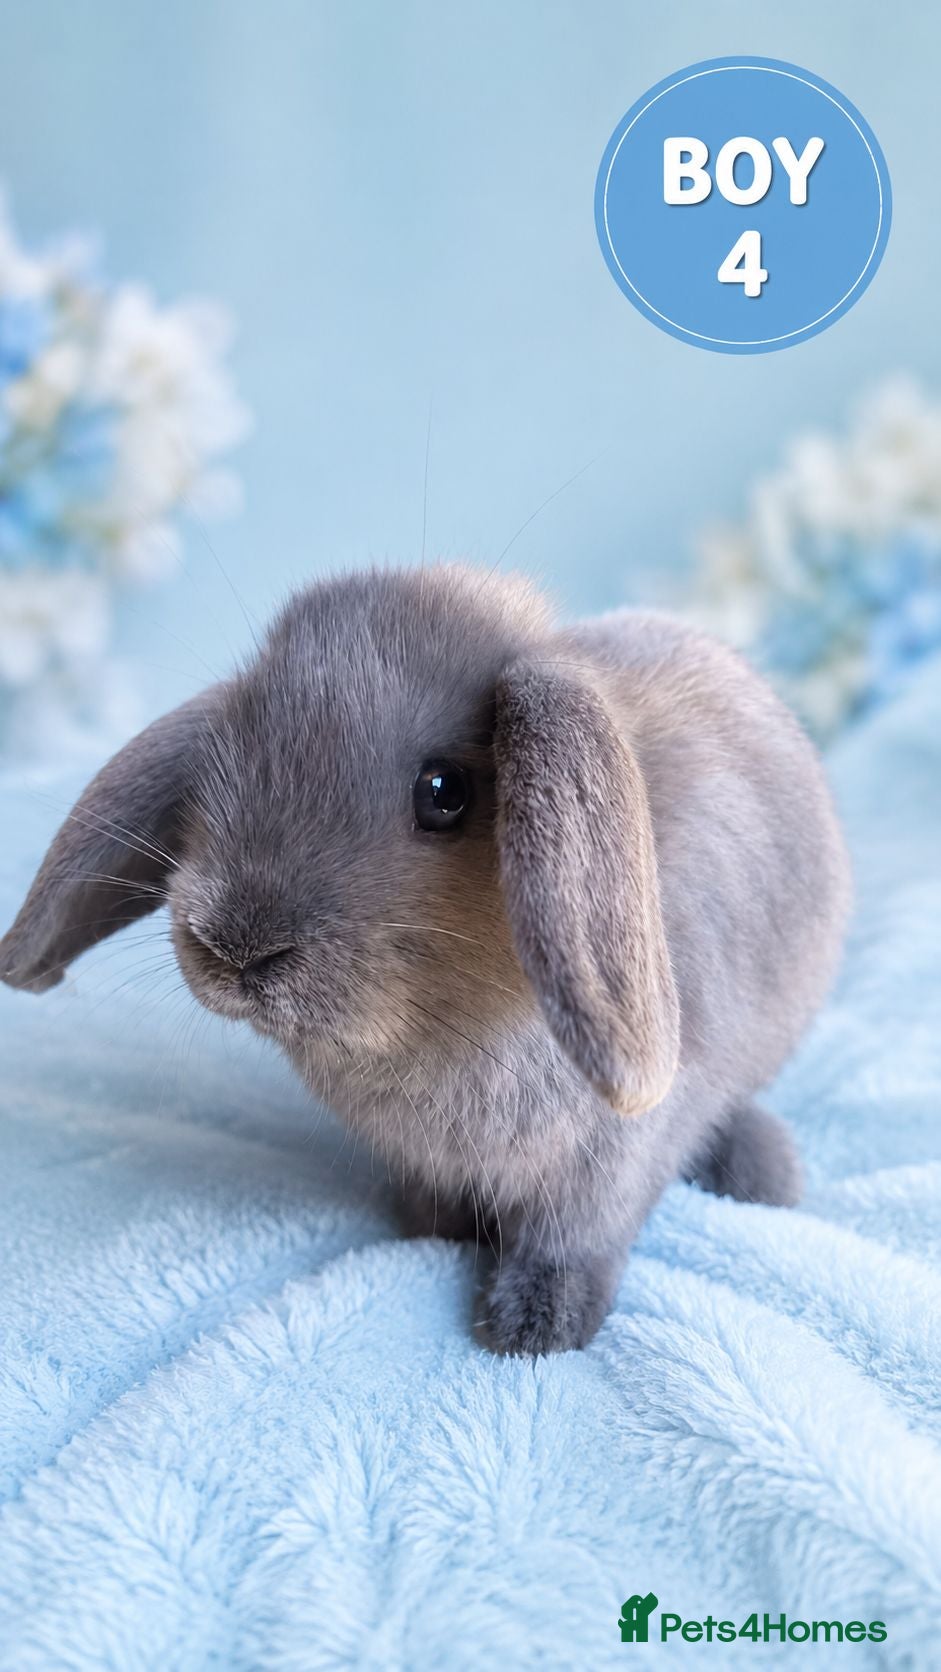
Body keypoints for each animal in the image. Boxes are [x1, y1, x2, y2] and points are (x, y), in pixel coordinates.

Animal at [0, 563, 850, 1355]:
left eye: (443, 791)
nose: (231, 944)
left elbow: (575, 1233)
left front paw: (534, 1325)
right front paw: (429, 1230)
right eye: (223, 761)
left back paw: (761, 1176)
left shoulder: (612, 1154)